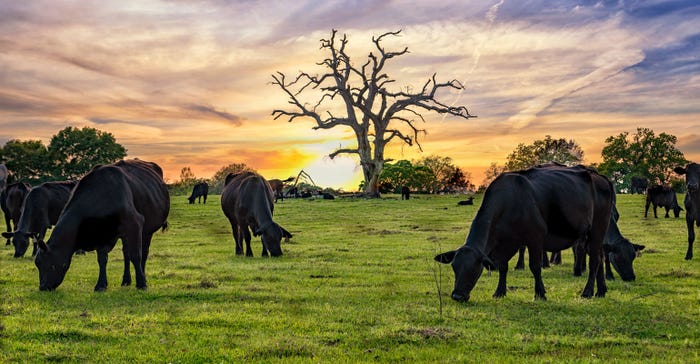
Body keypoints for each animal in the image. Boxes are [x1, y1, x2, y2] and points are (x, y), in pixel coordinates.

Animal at [33, 161, 170, 292]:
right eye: (37, 264)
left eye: (48, 263)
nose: (43, 287)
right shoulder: (100, 233)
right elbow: (102, 259)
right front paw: (101, 285)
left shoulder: (134, 224)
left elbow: (136, 255)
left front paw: (141, 284)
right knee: (126, 254)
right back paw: (126, 281)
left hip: (147, 231)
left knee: (143, 253)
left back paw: (142, 278)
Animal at [434, 165, 616, 302]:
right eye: (454, 268)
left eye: (474, 269)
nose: (457, 296)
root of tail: (600, 177)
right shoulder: (507, 242)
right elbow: (503, 267)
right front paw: (499, 292)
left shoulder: (535, 238)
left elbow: (535, 267)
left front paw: (540, 294)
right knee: (599, 257)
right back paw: (601, 291)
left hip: (598, 228)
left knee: (594, 260)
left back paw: (587, 292)